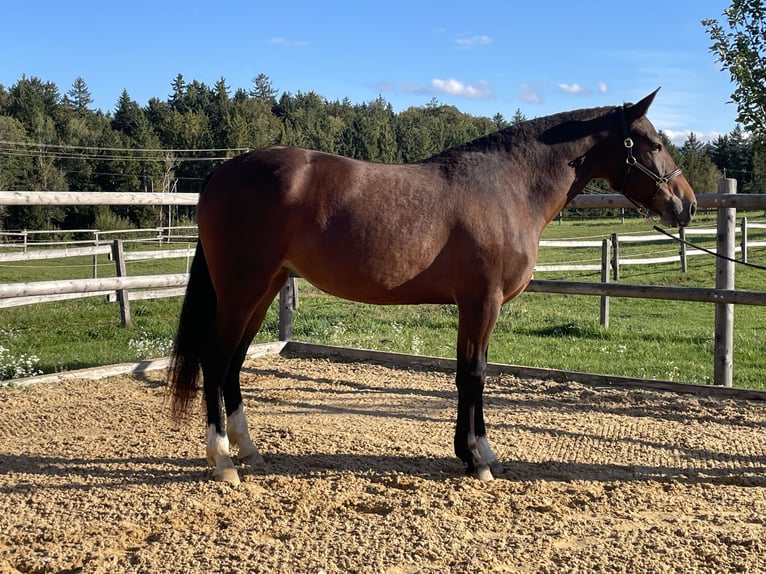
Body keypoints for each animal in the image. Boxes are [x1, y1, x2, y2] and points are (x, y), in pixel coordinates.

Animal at [168, 89, 697, 485]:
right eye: (652, 143)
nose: (686, 205)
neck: (507, 187)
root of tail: (221, 172)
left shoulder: (476, 305)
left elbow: (471, 372)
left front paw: (476, 452)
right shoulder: (482, 302)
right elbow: (474, 375)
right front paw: (478, 459)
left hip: (264, 288)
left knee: (234, 362)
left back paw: (249, 450)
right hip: (242, 288)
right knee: (216, 359)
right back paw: (223, 460)